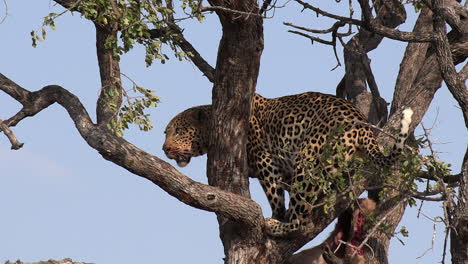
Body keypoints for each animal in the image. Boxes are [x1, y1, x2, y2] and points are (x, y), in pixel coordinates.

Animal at [163, 92, 412, 236]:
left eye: (178, 130)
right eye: (167, 132)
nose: (164, 148)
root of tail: (360, 124)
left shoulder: (265, 159)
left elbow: (274, 193)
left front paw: (277, 214)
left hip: (307, 159)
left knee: (300, 220)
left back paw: (276, 225)